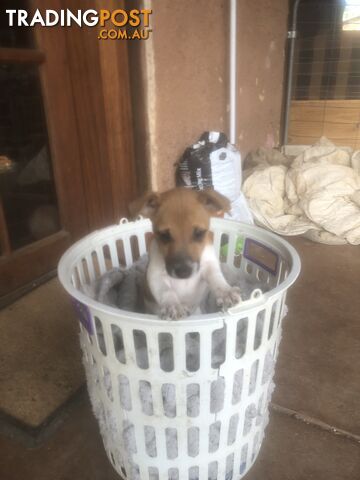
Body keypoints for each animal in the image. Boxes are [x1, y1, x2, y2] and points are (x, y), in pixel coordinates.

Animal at [131, 188, 240, 318]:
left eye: (199, 233)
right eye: (164, 235)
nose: (183, 272)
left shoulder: (209, 266)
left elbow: (217, 279)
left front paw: (226, 292)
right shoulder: (155, 276)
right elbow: (166, 291)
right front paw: (172, 305)